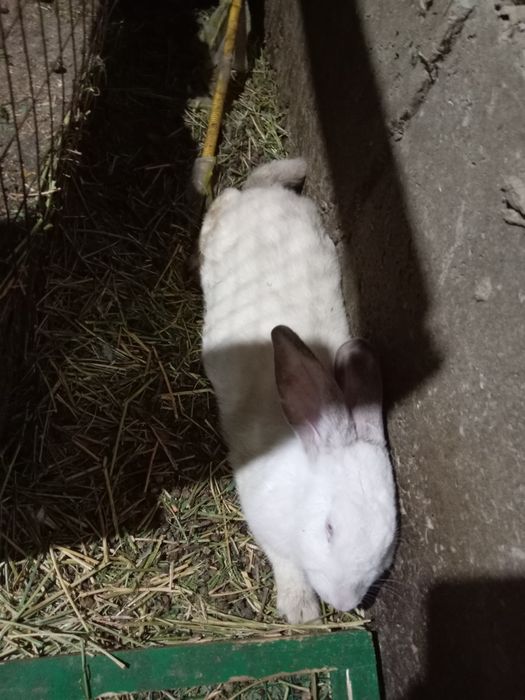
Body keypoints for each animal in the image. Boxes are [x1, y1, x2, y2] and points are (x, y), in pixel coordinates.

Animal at [199, 158, 397, 624]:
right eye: (329, 529)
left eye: (385, 550)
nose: (342, 602)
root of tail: (262, 197)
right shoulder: (266, 524)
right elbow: (286, 565)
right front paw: (302, 610)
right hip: (223, 226)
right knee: (222, 203)